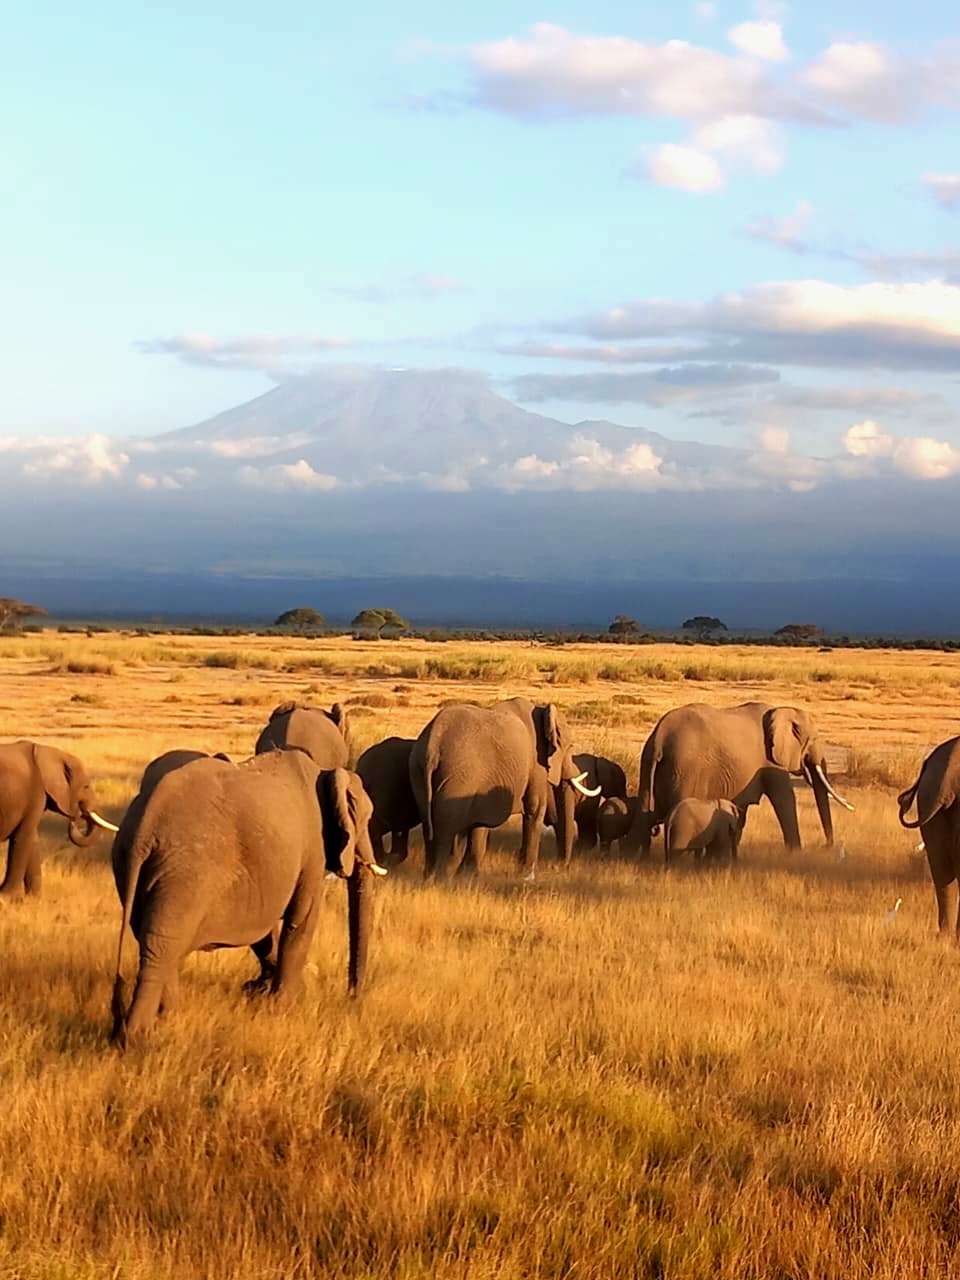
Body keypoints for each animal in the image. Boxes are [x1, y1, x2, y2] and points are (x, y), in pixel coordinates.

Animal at [0, 741, 117, 898]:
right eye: (86, 786)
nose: (75, 819)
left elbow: (32, 838)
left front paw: (34, 898)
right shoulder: (35, 794)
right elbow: (23, 836)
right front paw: (5, 897)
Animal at [110, 751, 386, 1046]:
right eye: (367, 819)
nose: (352, 996)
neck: (325, 773)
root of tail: (145, 825)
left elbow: (264, 930)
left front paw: (258, 990)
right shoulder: (314, 848)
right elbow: (302, 919)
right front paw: (287, 1002)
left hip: (134, 867)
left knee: (158, 943)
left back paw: (168, 1016)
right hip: (183, 874)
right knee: (160, 948)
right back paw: (138, 1037)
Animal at [409, 697, 600, 880]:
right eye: (570, 746)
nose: (557, 867)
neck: (541, 709)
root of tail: (432, 746)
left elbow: (480, 821)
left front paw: (468, 875)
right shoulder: (535, 762)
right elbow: (535, 808)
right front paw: (526, 875)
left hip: (419, 771)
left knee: (429, 825)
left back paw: (429, 877)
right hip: (458, 776)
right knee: (445, 827)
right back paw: (439, 879)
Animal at [624, 702, 853, 856]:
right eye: (813, 740)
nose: (827, 845)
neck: (782, 710)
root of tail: (660, 737)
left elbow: (741, 813)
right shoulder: (770, 761)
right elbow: (784, 798)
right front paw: (796, 854)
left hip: (648, 763)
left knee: (642, 815)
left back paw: (634, 859)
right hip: (684, 769)